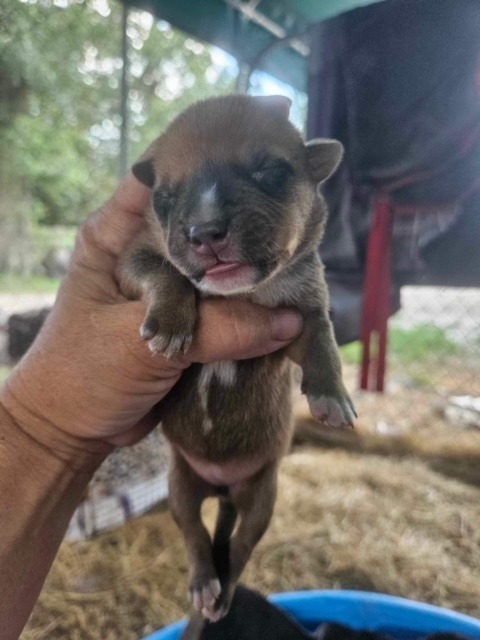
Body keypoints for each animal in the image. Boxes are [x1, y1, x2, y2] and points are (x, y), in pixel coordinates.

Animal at [119, 95, 356, 620]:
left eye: (269, 171)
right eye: (164, 198)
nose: (204, 232)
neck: (237, 294)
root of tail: (221, 489)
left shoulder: (300, 311)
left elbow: (323, 335)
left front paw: (332, 394)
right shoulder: (132, 256)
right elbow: (163, 269)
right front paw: (171, 322)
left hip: (261, 495)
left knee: (241, 547)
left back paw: (222, 592)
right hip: (180, 485)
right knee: (194, 534)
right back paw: (203, 583)